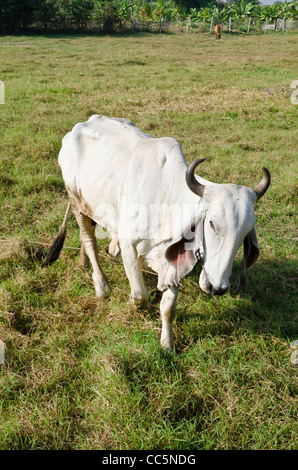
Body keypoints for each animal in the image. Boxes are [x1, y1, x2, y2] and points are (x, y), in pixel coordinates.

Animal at [44, 114, 270, 348]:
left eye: (244, 234)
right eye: (212, 224)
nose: (218, 287)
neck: (166, 202)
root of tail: (80, 126)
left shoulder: (172, 259)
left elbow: (168, 308)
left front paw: (167, 344)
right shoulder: (130, 246)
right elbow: (140, 295)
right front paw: (133, 305)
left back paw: (84, 262)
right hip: (77, 203)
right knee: (89, 241)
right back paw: (101, 285)